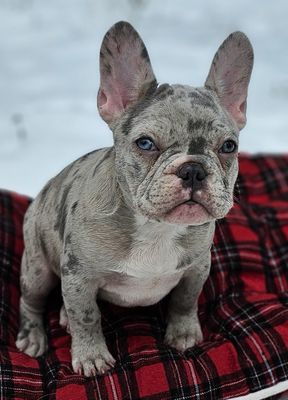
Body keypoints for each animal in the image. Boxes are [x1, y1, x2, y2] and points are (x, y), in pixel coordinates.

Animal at [16, 21, 254, 376]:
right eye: (145, 143)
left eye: (228, 147)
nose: (193, 169)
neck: (156, 228)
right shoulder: (79, 275)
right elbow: (87, 316)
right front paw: (91, 355)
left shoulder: (197, 268)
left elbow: (186, 301)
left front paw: (184, 333)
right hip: (37, 267)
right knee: (31, 300)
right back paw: (34, 335)